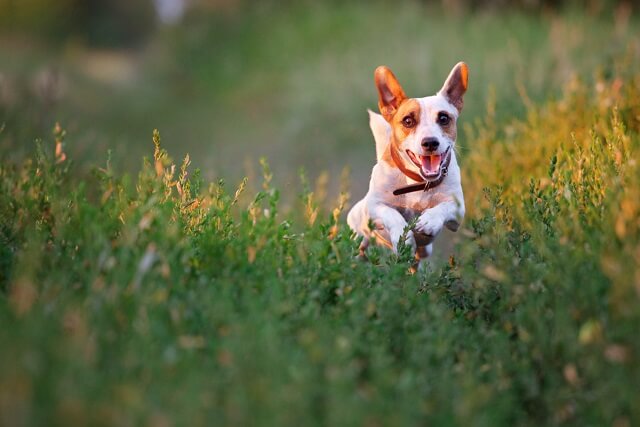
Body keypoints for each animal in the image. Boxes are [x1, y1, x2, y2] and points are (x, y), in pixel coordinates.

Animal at [348, 62, 468, 268]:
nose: (430, 142)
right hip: (358, 232)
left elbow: (443, 207)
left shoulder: (458, 212)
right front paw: (402, 237)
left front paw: (429, 220)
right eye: (408, 121)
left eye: (444, 118)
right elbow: (392, 214)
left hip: (425, 252)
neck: (417, 181)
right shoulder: (374, 206)